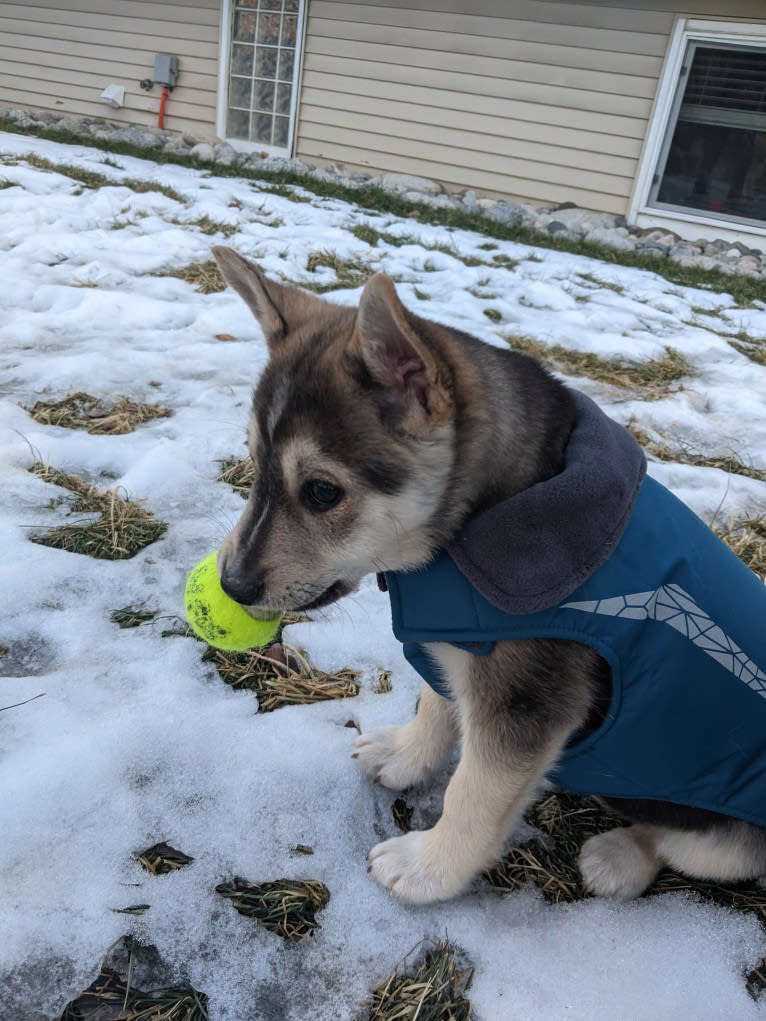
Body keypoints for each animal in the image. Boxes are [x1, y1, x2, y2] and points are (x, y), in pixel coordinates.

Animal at [210, 245, 766, 902]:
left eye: (322, 492)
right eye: (253, 461)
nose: (232, 585)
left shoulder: (526, 697)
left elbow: (474, 793)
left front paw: (428, 868)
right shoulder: (460, 637)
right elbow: (438, 701)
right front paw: (406, 756)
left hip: (720, 839)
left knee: (675, 840)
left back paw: (619, 856)